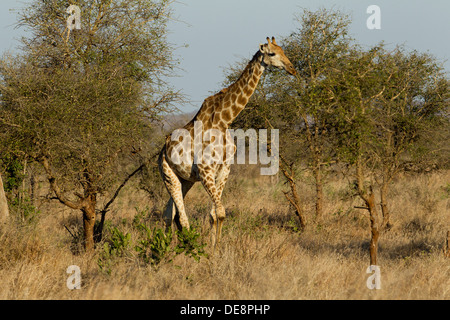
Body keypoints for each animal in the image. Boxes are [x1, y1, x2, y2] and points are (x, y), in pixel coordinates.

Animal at [157, 37, 296, 248]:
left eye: (283, 51)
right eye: (272, 53)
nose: (291, 68)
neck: (224, 121)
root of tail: (161, 151)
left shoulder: (224, 169)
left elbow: (215, 214)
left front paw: (217, 248)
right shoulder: (206, 170)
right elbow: (220, 212)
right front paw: (213, 249)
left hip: (185, 180)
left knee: (168, 213)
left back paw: (165, 246)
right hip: (167, 174)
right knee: (181, 218)